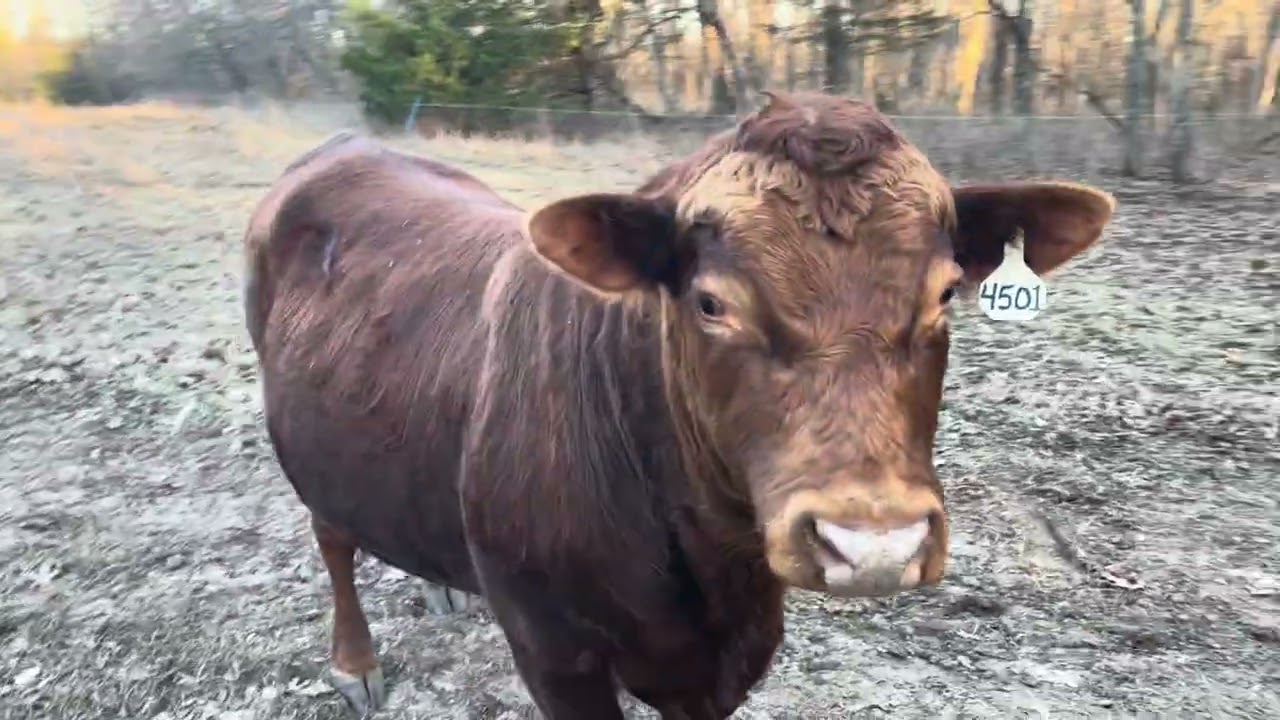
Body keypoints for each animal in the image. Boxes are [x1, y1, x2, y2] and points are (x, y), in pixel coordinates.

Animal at [243, 91, 1115, 719]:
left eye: (943, 294)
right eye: (710, 303)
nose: (873, 545)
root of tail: (346, 148)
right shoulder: (553, 651)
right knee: (333, 538)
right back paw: (354, 663)